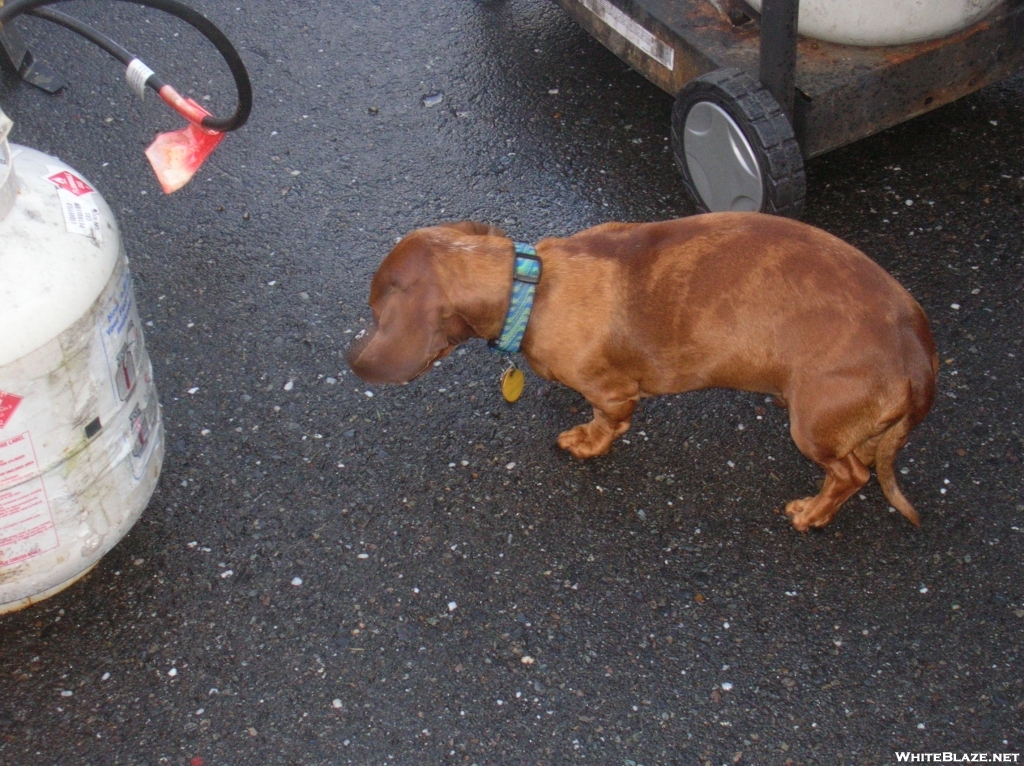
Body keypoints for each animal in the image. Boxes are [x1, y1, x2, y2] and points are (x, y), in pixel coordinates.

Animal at [350, 211, 937, 528]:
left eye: (375, 311)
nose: (351, 361)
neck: (534, 285)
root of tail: (918, 354)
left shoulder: (614, 392)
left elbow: (607, 423)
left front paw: (586, 441)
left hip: (811, 426)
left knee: (851, 475)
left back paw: (811, 513)